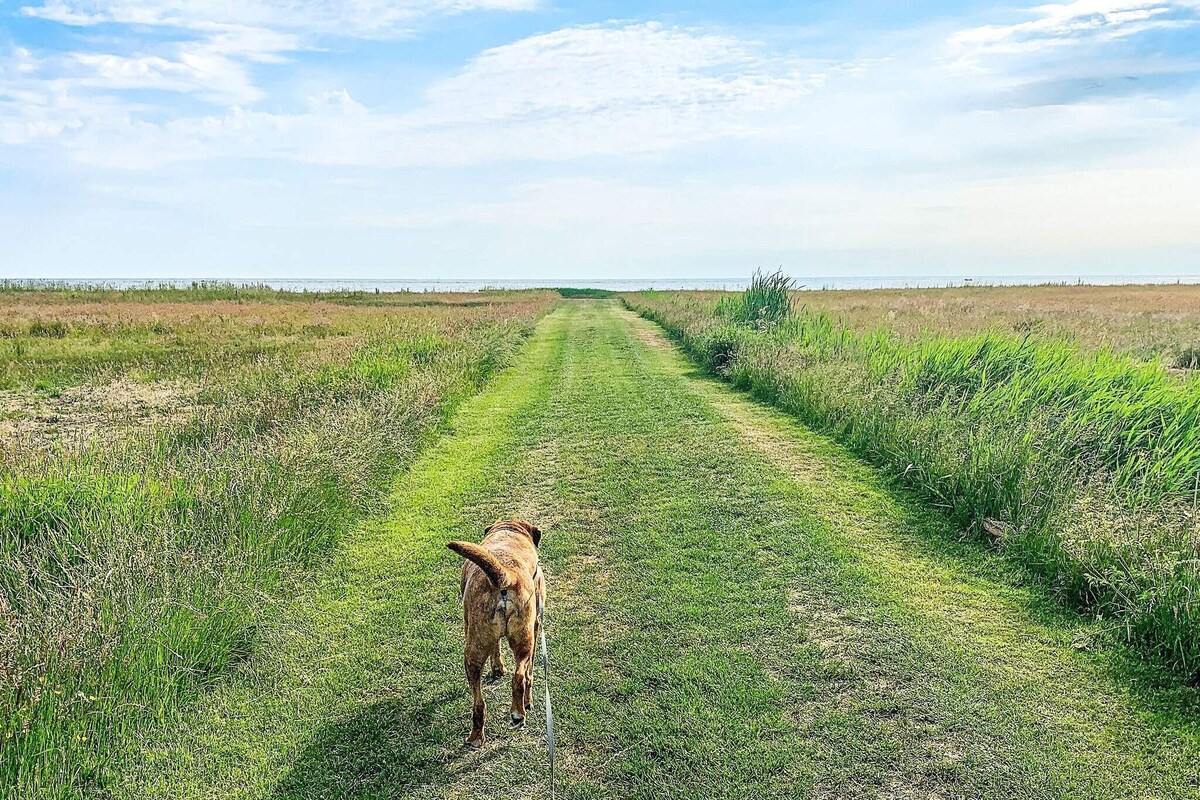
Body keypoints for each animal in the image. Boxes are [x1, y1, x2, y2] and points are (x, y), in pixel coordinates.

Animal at [448, 522, 547, 748]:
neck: (508, 530)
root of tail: (504, 575)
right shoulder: (536, 625)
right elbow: (530, 673)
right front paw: (528, 701)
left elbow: (496, 649)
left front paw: (498, 669)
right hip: (524, 640)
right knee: (520, 676)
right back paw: (518, 713)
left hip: (474, 651)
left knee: (479, 702)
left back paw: (477, 736)